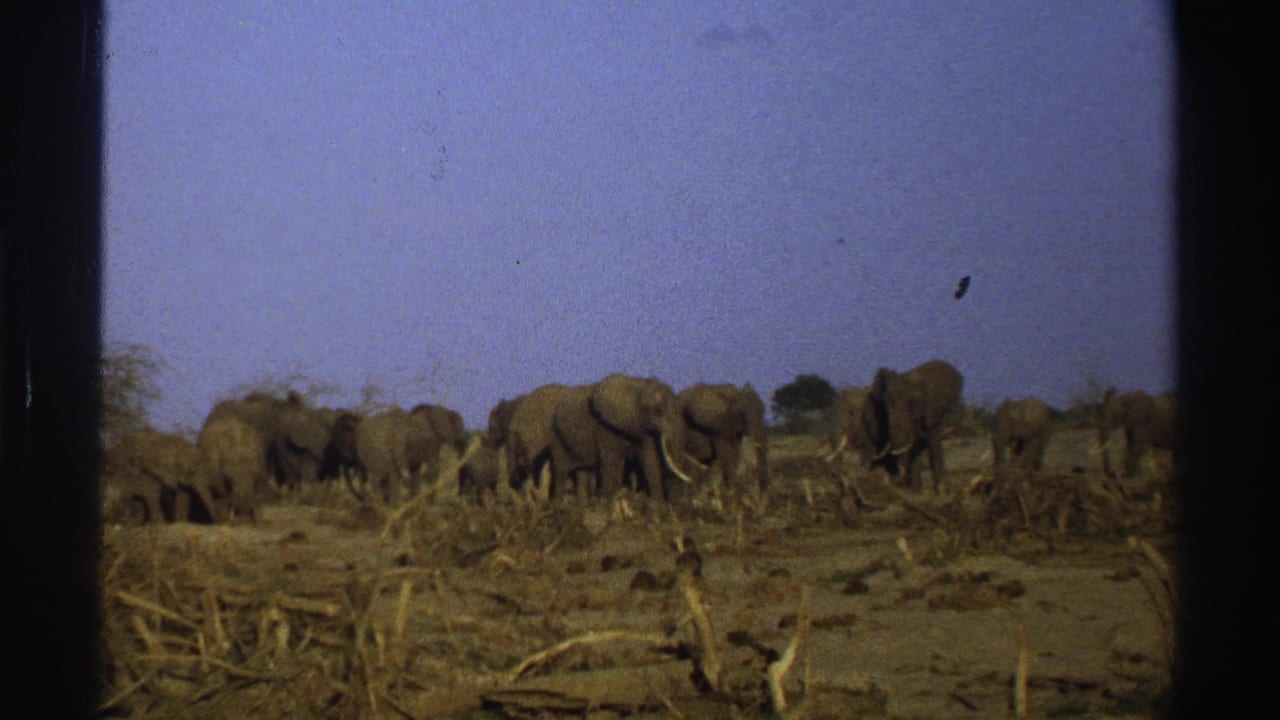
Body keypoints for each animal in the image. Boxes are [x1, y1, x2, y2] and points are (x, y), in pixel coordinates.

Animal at [549, 375, 702, 503]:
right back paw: (560, 504)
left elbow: (650, 459)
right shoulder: (605, 427)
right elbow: (612, 463)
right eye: (658, 411)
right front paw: (608, 501)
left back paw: (583, 505)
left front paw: (657, 504)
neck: (637, 389)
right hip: (558, 437)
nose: (692, 481)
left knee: (583, 471)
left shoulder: (643, 427)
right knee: (561, 471)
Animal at [865, 359, 964, 494]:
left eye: (913, 403)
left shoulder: (931, 412)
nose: (900, 482)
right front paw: (915, 489)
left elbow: (933, 443)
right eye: (886, 405)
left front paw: (941, 492)